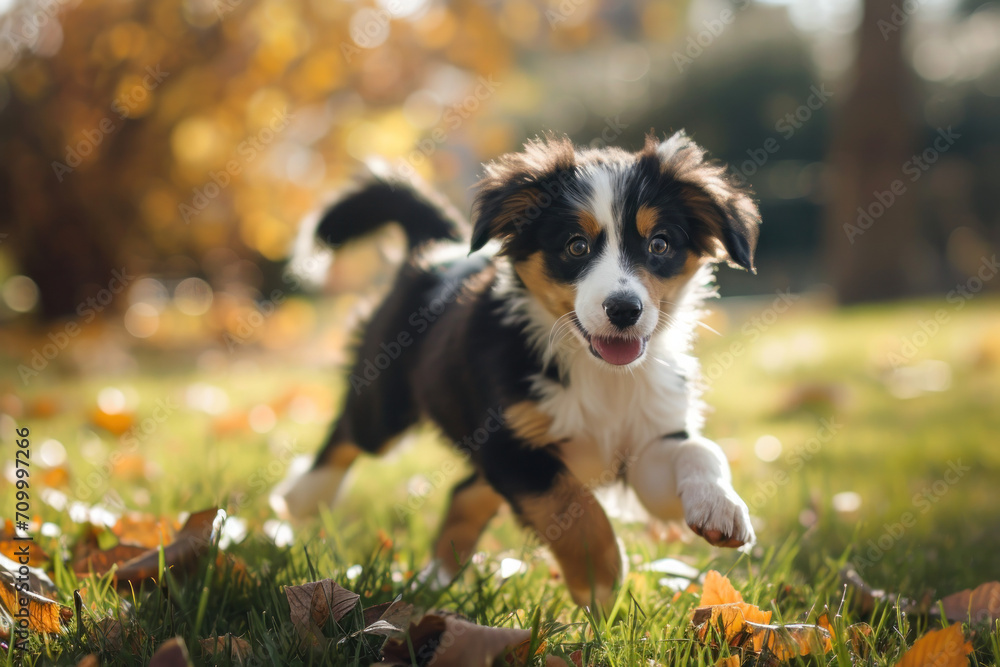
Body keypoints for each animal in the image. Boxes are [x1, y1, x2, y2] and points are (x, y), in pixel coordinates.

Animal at [278, 130, 760, 612]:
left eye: (659, 244)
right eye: (576, 246)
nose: (624, 310)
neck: (599, 373)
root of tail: (435, 249)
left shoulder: (648, 442)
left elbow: (700, 450)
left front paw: (720, 508)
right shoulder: (509, 443)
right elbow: (573, 506)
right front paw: (602, 583)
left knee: (464, 492)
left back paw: (435, 579)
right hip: (386, 403)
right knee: (349, 433)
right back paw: (301, 500)